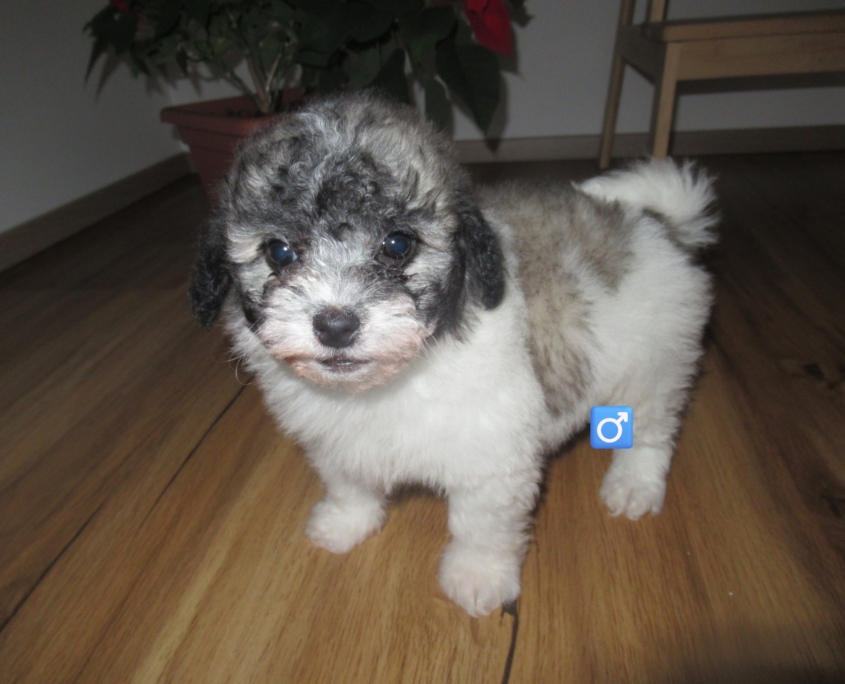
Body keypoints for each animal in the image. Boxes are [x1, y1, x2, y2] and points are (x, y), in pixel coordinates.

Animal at [190, 92, 717, 617]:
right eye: (279, 252)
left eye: (397, 244)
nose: (336, 325)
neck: (397, 376)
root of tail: (654, 221)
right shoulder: (337, 441)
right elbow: (348, 482)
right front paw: (345, 523)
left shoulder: (493, 457)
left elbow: (480, 525)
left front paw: (477, 577)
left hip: (657, 362)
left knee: (653, 428)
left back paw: (635, 484)